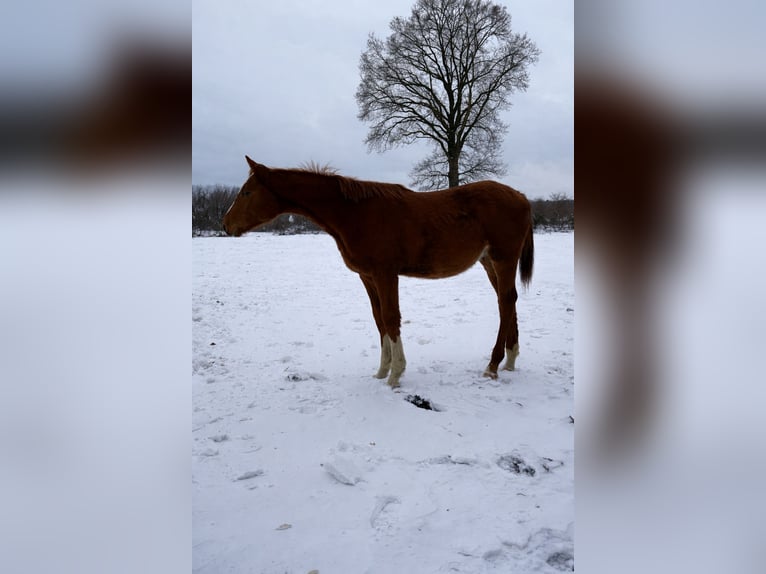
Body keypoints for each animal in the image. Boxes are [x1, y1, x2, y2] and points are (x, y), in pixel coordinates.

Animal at [223, 156, 534, 389]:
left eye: (247, 192)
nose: (226, 225)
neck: (357, 214)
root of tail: (521, 197)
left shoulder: (386, 274)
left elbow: (391, 317)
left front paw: (396, 374)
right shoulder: (368, 276)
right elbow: (379, 319)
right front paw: (382, 371)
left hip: (503, 259)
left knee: (506, 302)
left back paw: (492, 366)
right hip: (489, 262)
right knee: (508, 301)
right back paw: (510, 360)